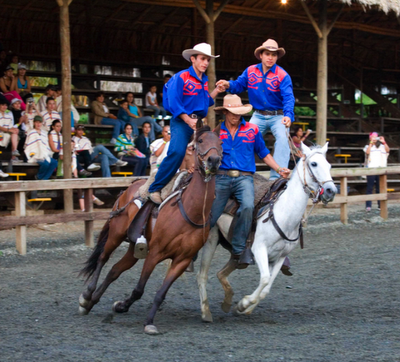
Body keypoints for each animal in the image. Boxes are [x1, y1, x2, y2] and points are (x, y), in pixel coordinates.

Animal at [78, 126, 222, 336]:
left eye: (220, 143)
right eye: (200, 141)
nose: (214, 160)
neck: (191, 210)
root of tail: (129, 188)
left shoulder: (182, 260)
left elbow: (161, 293)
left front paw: (132, 312)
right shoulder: (155, 253)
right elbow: (139, 288)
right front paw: (136, 314)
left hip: (134, 248)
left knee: (114, 270)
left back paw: (92, 301)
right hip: (116, 234)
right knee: (103, 258)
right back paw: (87, 295)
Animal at [197, 143, 338, 320]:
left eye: (329, 165)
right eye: (314, 164)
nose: (331, 190)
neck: (284, 214)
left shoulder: (279, 257)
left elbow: (267, 287)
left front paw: (244, 308)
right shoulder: (259, 249)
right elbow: (264, 279)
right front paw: (244, 303)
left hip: (234, 251)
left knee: (220, 273)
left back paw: (227, 302)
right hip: (212, 239)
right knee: (202, 275)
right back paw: (205, 312)